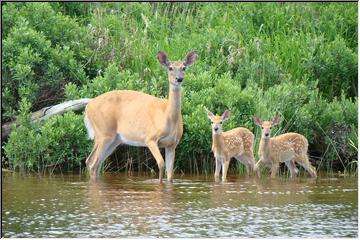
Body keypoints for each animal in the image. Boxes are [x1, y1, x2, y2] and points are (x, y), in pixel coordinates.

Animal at [83, 51, 197, 182]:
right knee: (93, 163)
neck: (167, 117)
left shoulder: (172, 144)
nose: (179, 79)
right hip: (103, 133)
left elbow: (170, 174)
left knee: (95, 163)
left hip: (114, 140)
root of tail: (88, 106)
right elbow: (161, 164)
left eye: (184, 68)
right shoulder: (150, 138)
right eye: (170, 68)